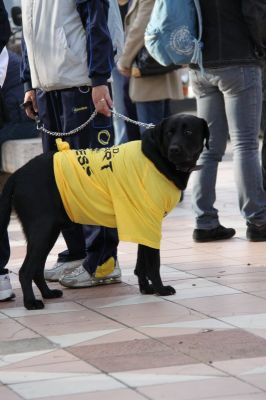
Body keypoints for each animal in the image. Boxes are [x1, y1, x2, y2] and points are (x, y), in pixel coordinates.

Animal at [0, 113, 209, 310]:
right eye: (169, 133)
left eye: (188, 132)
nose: (174, 149)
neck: (156, 157)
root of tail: (18, 174)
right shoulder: (149, 222)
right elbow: (153, 264)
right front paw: (160, 289)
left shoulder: (142, 224)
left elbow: (141, 264)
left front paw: (146, 289)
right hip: (43, 231)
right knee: (26, 270)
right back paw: (30, 303)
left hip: (47, 233)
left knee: (36, 268)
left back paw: (48, 294)